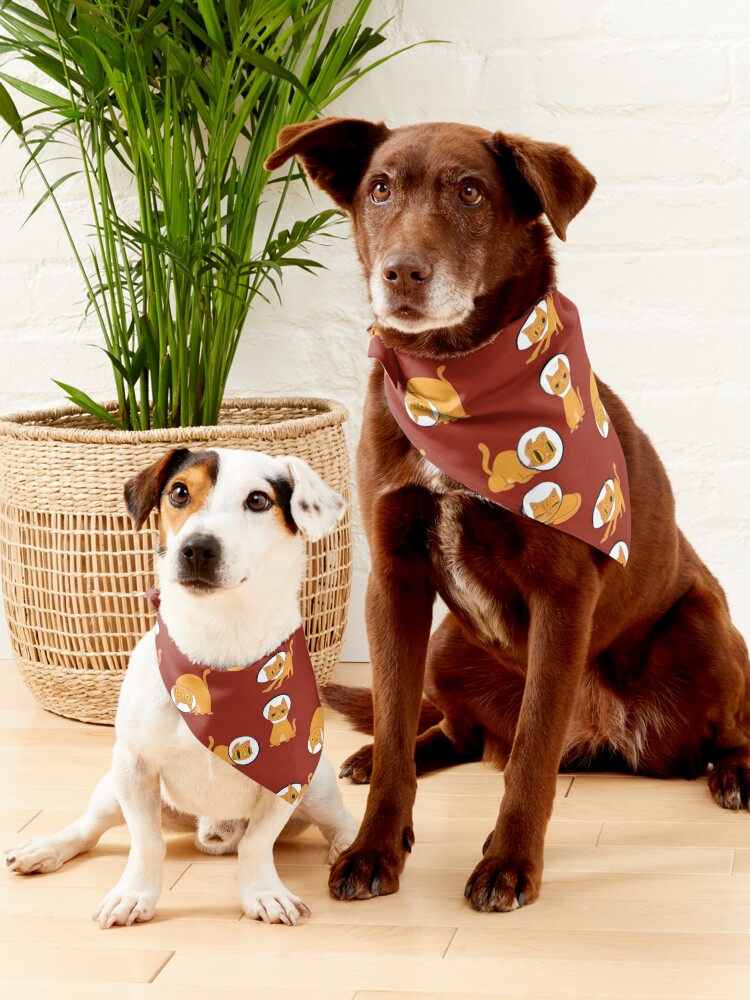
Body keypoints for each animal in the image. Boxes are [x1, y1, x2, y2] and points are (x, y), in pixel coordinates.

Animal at [5, 450, 358, 924]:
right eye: (179, 492)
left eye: (258, 500)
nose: (198, 547)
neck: (218, 641)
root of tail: (212, 829)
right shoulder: (133, 766)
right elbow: (146, 843)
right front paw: (134, 894)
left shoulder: (287, 777)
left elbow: (257, 844)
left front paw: (263, 893)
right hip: (112, 788)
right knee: (89, 828)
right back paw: (46, 848)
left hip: (316, 786)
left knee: (340, 820)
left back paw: (349, 849)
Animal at [266, 119, 750, 916]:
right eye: (379, 189)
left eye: (470, 192)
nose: (402, 273)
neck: (453, 380)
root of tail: (613, 741)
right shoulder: (393, 581)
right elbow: (397, 721)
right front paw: (374, 846)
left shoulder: (563, 598)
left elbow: (530, 752)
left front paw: (509, 864)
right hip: (448, 647)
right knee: (453, 729)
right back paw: (381, 754)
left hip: (704, 632)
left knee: (729, 725)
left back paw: (735, 773)